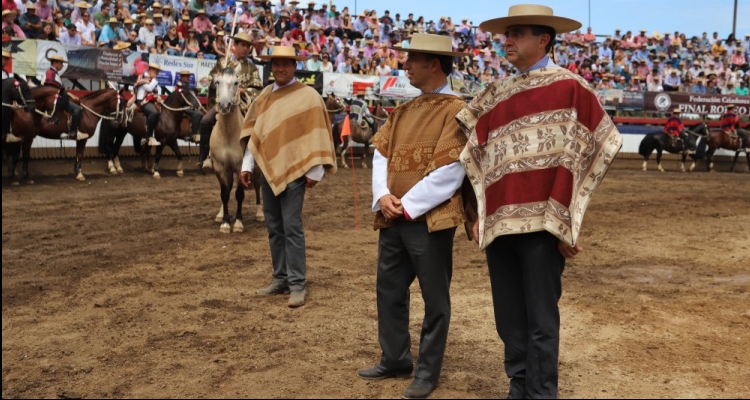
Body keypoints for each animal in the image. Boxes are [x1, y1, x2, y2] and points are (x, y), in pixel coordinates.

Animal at [210, 66, 262, 234]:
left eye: (236, 82)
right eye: (217, 81)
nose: (224, 105)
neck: (228, 135)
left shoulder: (240, 167)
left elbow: (239, 194)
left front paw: (238, 222)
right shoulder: (220, 167)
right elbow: (224, 194)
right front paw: (225, 222)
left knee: (258, 186)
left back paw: (260, 212)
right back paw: (220, 214)